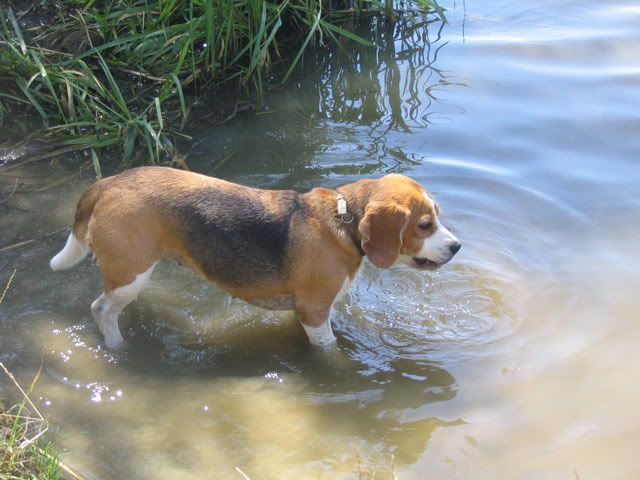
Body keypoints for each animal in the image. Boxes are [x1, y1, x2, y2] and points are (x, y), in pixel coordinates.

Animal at [50, 167, 460, 349]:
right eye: (425, 225)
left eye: (438, 216)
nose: (456, 247)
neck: (344, 222)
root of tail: (110, 182)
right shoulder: (315, 312)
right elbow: (328, 350)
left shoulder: (305, 311)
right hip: (129, 273)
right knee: (101, 309)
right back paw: (117, 346)